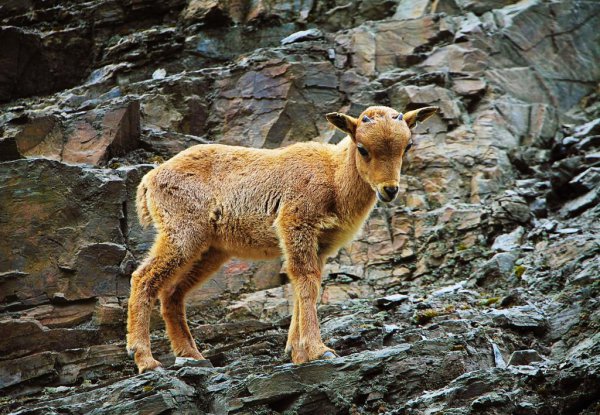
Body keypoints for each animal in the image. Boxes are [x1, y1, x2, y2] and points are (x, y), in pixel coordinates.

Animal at [126, 104, 438, 374]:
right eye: (363, 149)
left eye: (407, 146)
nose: (389, 190)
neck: (334, 178)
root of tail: (150, 179)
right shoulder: (295, 223)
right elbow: (305, 280)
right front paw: (318, 349)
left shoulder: (321, 244)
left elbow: (307, 283)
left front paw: (297, 352)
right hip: (182, 231)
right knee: (143, 278)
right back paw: (146, 359)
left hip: (210, 248)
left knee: (172, 292)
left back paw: (192, 356)